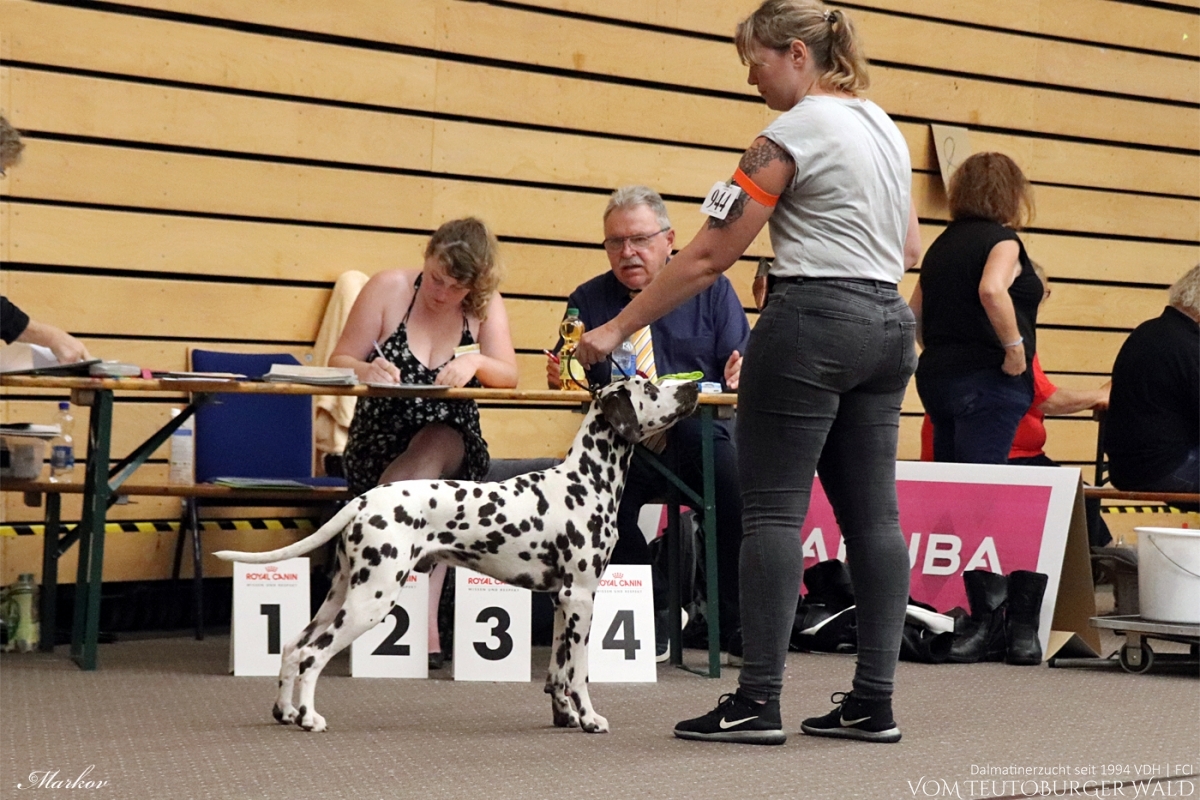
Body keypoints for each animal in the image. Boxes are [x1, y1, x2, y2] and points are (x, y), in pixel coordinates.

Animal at [216, 379, 700, 734]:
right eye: (650, 386)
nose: (693, 386)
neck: (585, 481)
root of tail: (364, 500)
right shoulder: (581, 597)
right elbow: (579, 673)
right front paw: (589, 718)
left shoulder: (562, 601)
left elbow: (557, 673)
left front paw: (564, 716)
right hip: (370, 601)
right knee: (312, 656)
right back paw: (309, 718)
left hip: (342, 594)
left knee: (292, 647)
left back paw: (286, 712)